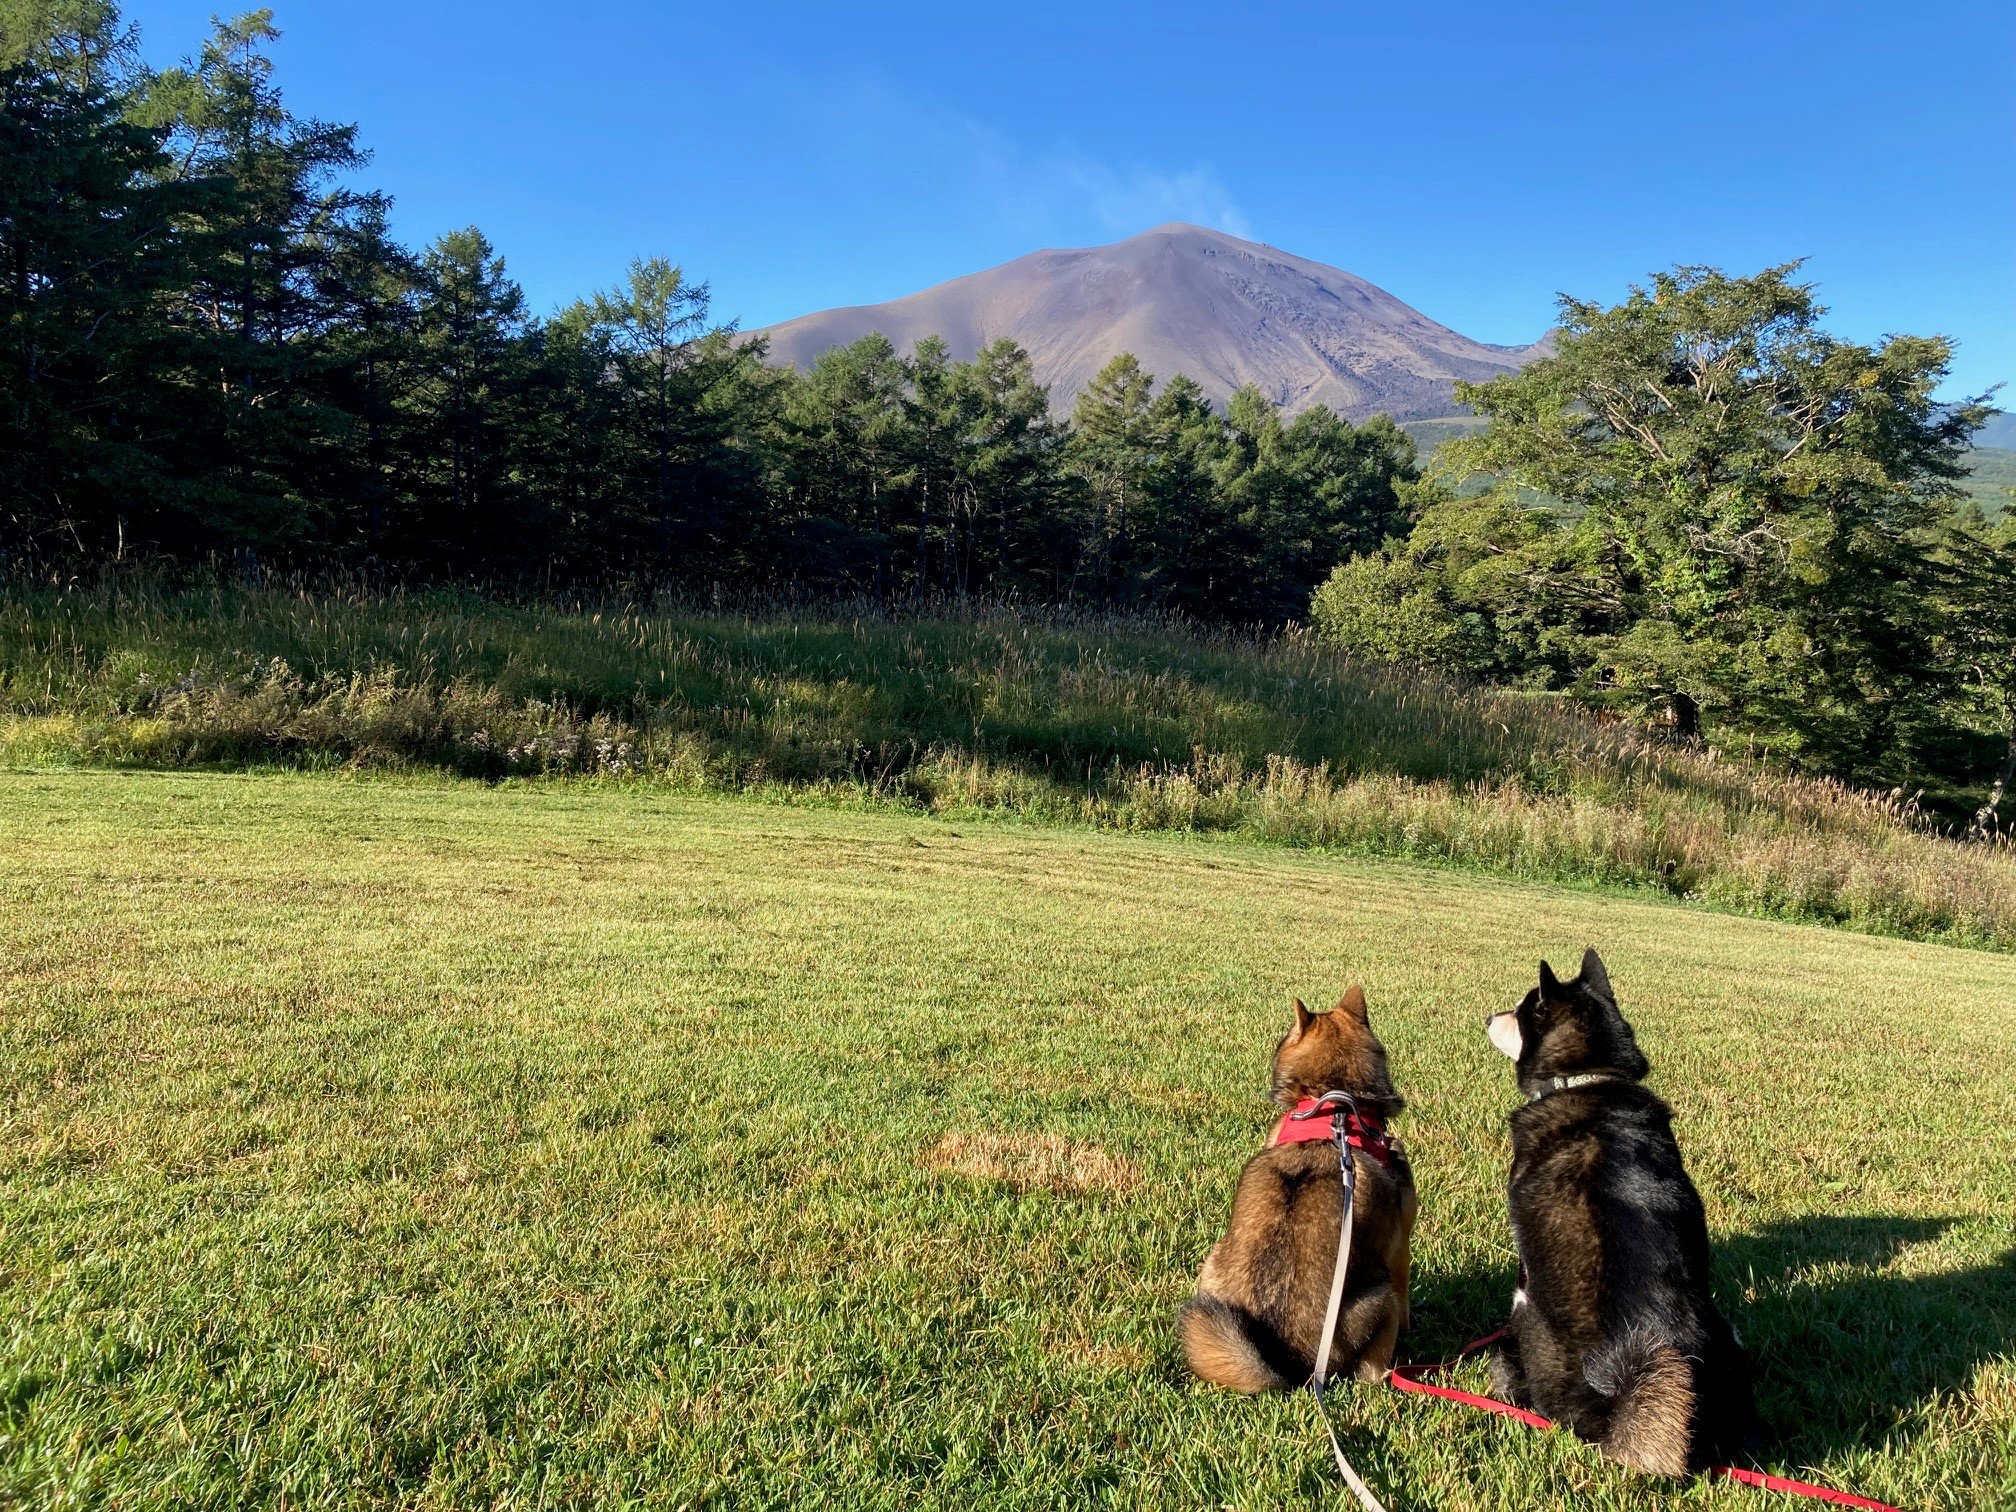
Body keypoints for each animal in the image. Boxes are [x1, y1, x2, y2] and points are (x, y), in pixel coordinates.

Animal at [1177, 987, 1419, 1395]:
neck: (1334, 1104)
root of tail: (1293, 1363)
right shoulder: (1400, 1248)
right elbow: (1405, 1300)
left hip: (1212, 1270)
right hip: (1378, 1299)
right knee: (1371, 1372)